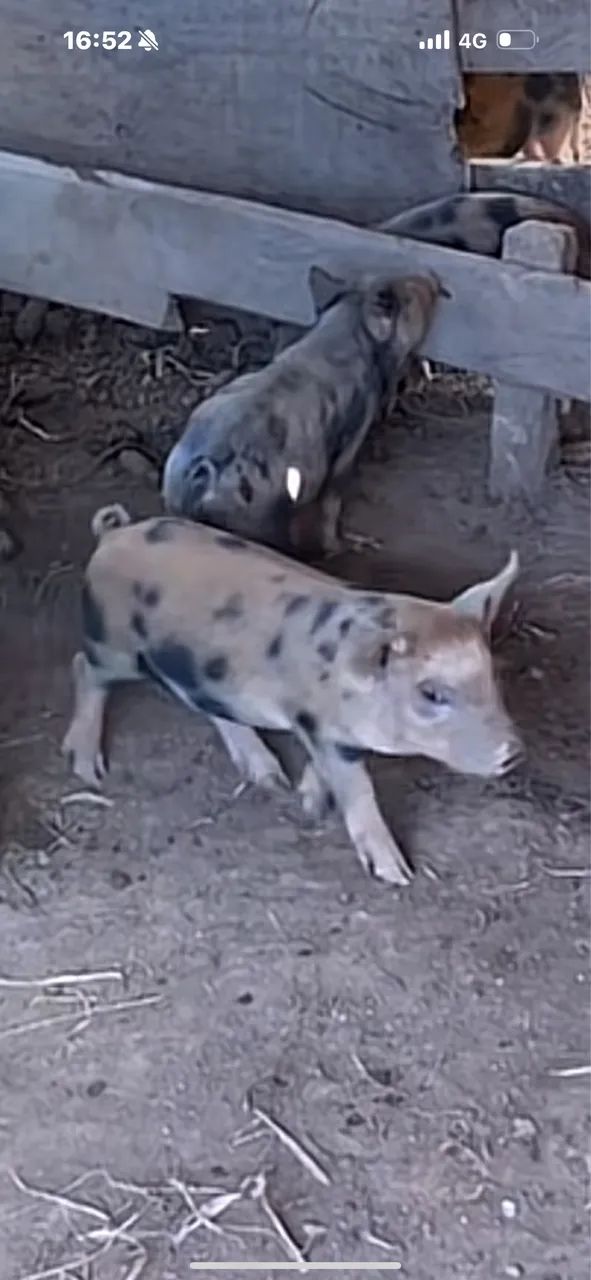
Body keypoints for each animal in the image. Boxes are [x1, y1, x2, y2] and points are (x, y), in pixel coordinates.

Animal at [62, 505, 523, 888]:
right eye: (430, 692)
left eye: (492, 673)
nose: (514, 751)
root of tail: (114, 534)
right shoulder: (322, 727)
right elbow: (358, 790)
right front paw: (396, 874)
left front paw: (306, 799)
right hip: (114, 646)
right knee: (84, 667)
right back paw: (89, 770)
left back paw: (268, 777)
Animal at [161, 270, 441, 557]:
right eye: (411, 295)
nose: (430, 277)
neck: (349, 326)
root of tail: (202, 471)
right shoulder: (351, 439)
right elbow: (332, 500)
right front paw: (340, 549)